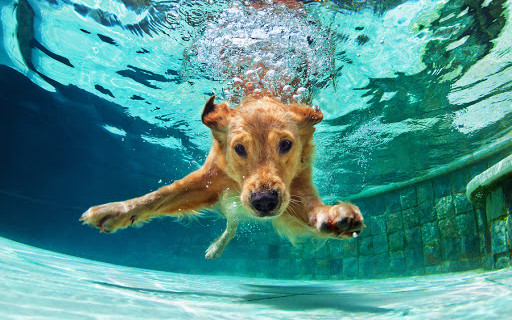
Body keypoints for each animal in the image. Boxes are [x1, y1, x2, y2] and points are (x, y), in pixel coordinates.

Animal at [81, 94, 364, 258]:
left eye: (285, 144)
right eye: (239, 148)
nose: (264, 201)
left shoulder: (296, 190)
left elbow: (313, 209)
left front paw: (334, 217)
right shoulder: (208, 180)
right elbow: (159, 196)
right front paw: (116, 211)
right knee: (232, 224)